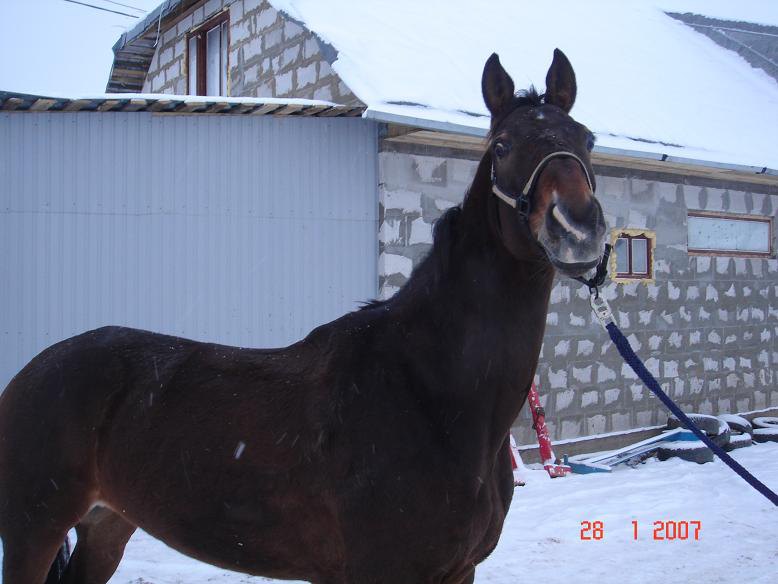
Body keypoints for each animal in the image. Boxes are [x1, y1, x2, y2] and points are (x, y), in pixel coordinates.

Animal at [0, 51, 608, 584]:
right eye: (503, 145)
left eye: (587, 139)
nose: (577, 228)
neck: (432, 391)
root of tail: (31, 373)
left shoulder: (460, 572)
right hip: (33, 530)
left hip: (107, 527)